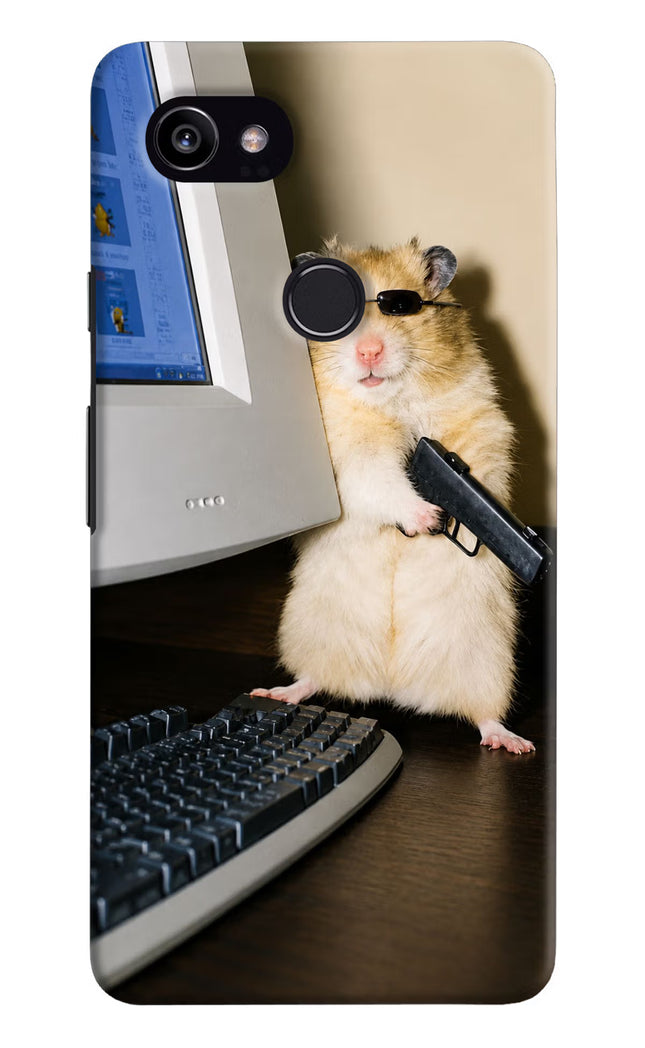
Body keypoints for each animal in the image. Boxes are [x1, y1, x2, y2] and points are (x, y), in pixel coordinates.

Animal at [252, 237, 534, 754]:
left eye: (402, 307)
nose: (369, 351)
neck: (390, 401)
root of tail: (393, 686)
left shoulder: (481, 425)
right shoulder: (348, 458)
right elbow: (380, 482)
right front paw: (428, 518)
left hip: (487, 660)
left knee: (484, 714)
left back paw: (512, 742)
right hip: (311, 632)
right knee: (313, 679)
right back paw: (276, 692)